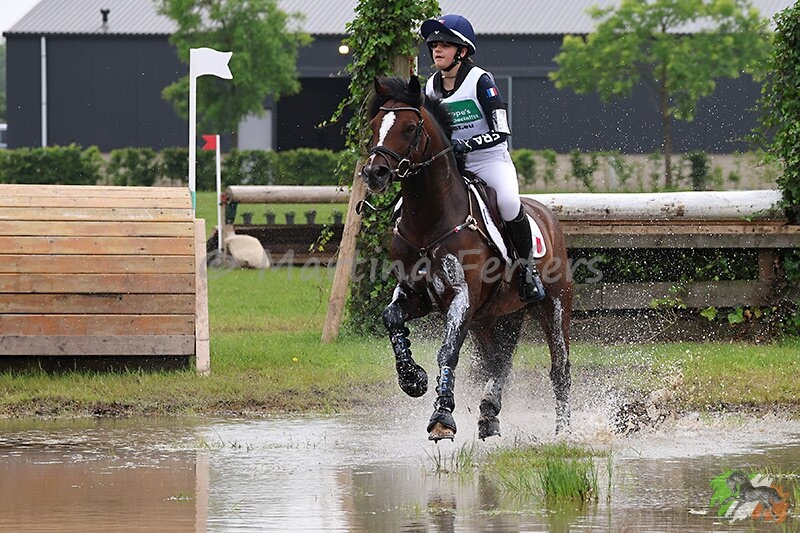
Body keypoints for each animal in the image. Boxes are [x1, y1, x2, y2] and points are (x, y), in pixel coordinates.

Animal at [361, 75, 573, 441]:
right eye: (375, 125)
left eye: (410, 127)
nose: (375, 173)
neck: (429, 221)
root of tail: (547, 214)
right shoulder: (414, 294)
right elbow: (392, 318)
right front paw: (412, 379)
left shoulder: (461, 297)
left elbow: (448, 350)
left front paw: (442, 417)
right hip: (488, 317)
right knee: (498, 361)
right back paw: (488, 413)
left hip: (554, 306)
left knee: (559, 366)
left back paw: (563, 432)